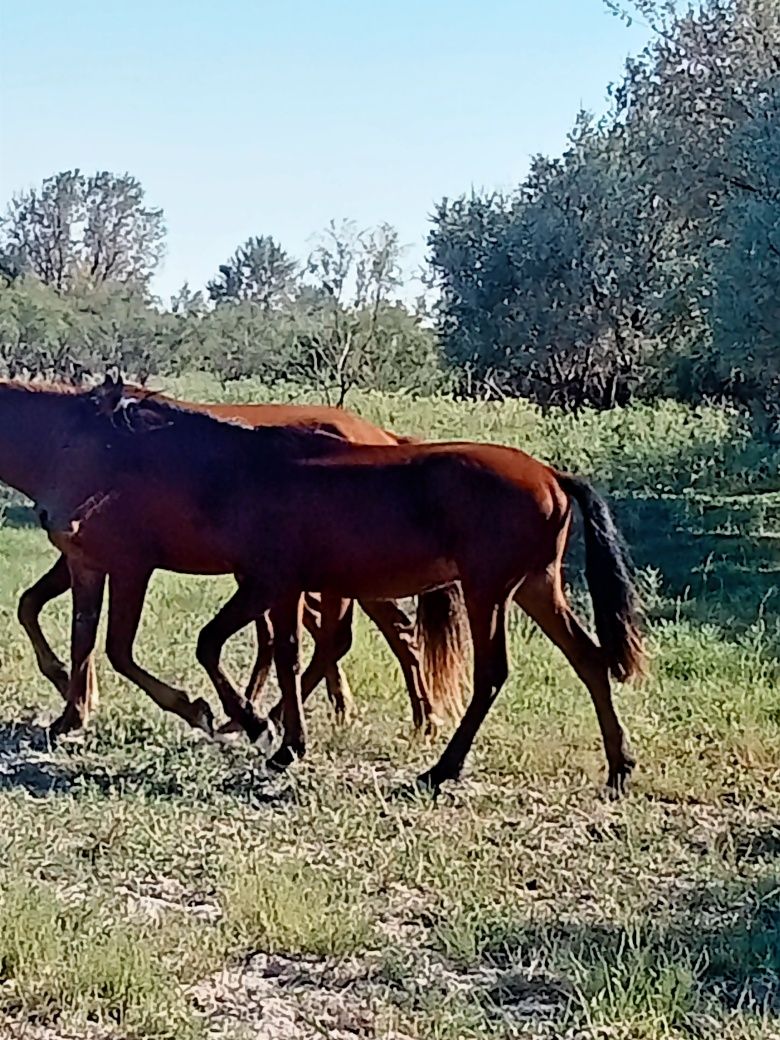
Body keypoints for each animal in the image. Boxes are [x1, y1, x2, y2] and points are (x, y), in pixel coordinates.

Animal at [0, 384, 463, 740]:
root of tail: (385, 437)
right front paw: (72, 709)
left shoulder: (129, 565)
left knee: (384, 634)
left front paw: (192, 708)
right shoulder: (85, 561)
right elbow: (60, 625)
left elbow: (115, 649)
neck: (65, 443)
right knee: (345, 638)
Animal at [50, 378, 648, 790]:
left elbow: (215, 645)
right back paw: (619, 766)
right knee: (589, 660)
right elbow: (288, 656)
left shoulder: (265, 582)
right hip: (534, 588)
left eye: (92, 443)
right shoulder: (284, 589)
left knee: (491, 677)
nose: (62, 520)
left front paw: (253, 723)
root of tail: (552, 476)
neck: (244, 469)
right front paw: (284, 742)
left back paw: (442, 768)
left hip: (490, 593)